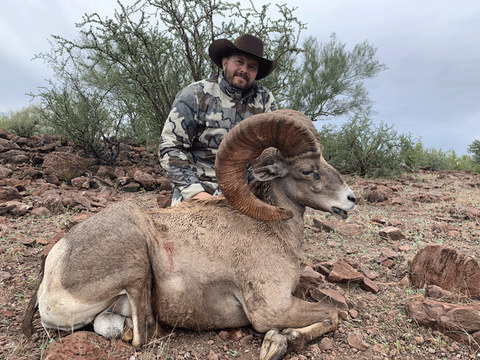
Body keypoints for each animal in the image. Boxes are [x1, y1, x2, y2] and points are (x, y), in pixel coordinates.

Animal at [22, 109, 356, 360]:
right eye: (307, 170)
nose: (350, 200)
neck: (271, 230)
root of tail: (53, 269)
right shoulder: (272, 309)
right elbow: (331, 314)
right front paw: (281, 343)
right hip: (136, 264)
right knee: (141, 336)